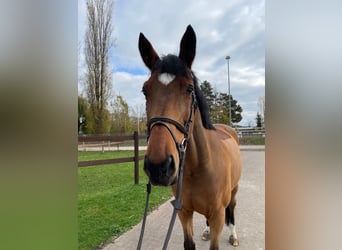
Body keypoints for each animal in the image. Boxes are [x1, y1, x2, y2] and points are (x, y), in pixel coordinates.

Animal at [138, 24, 242, 249]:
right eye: (145, 91)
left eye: (189, 88)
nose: (158, 167)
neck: (199, 168)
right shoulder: (183, 212)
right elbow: (189, 243)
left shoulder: (218, 216)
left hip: (234, 191)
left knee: (232, 209)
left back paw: (234, 235)